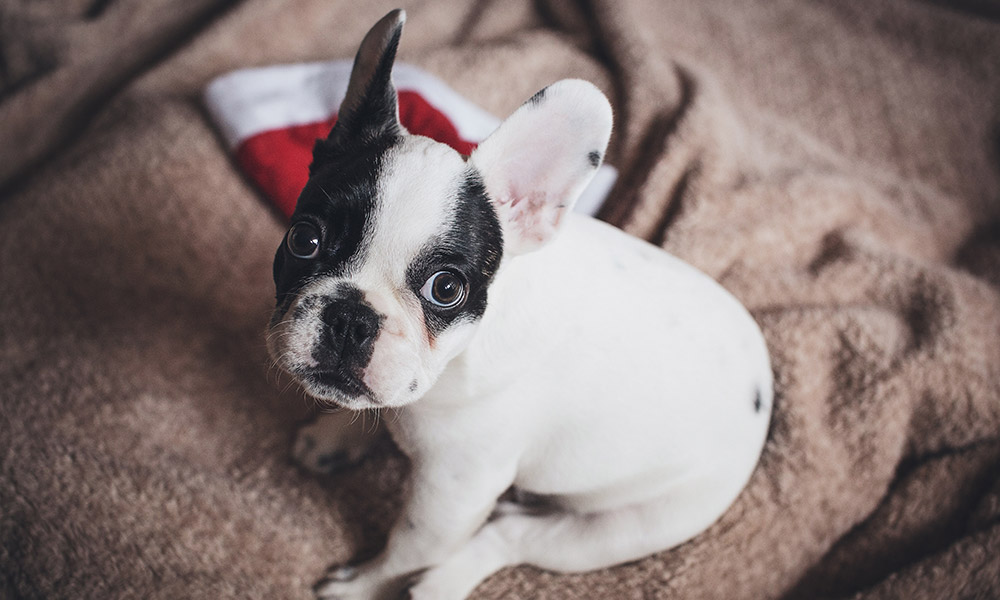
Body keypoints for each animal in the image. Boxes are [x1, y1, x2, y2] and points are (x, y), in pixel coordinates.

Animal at [266, 9, 772, 600]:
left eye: (446, 289)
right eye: (304, 239)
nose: (351, 317)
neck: (452, 363)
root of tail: (763, 393)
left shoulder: (453, 492)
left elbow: (406, 548)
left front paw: (362, 587)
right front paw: (333, 435)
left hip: (628, 527)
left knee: (508, 539)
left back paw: (440, 584)